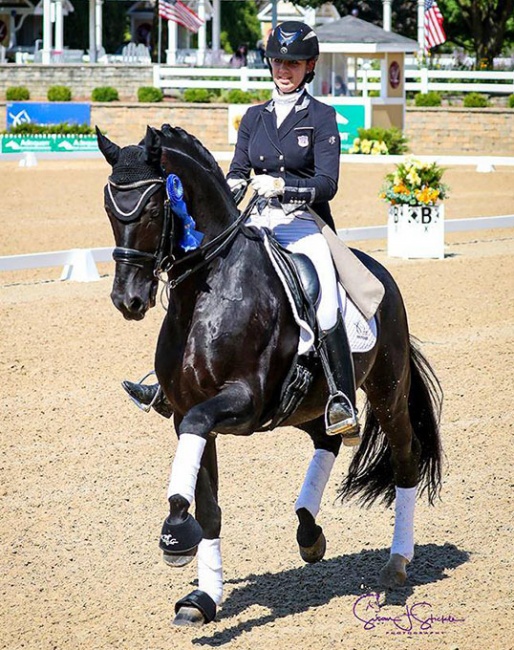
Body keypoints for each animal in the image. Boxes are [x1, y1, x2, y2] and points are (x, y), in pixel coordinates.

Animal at [96, 124, 440, 624]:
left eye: (157, 208)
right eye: (109, 208)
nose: (129, 300)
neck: (207, 291)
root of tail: (380, 275)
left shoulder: (241, 401)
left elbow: (198, 462)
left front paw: (175, 530)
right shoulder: (187, 413)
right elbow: (210, 507)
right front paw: (201, 599)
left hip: (386, 390)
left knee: (404, 460)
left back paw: (396, 563)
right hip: (308, 402)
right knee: (327, 438)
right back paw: (309, 533)